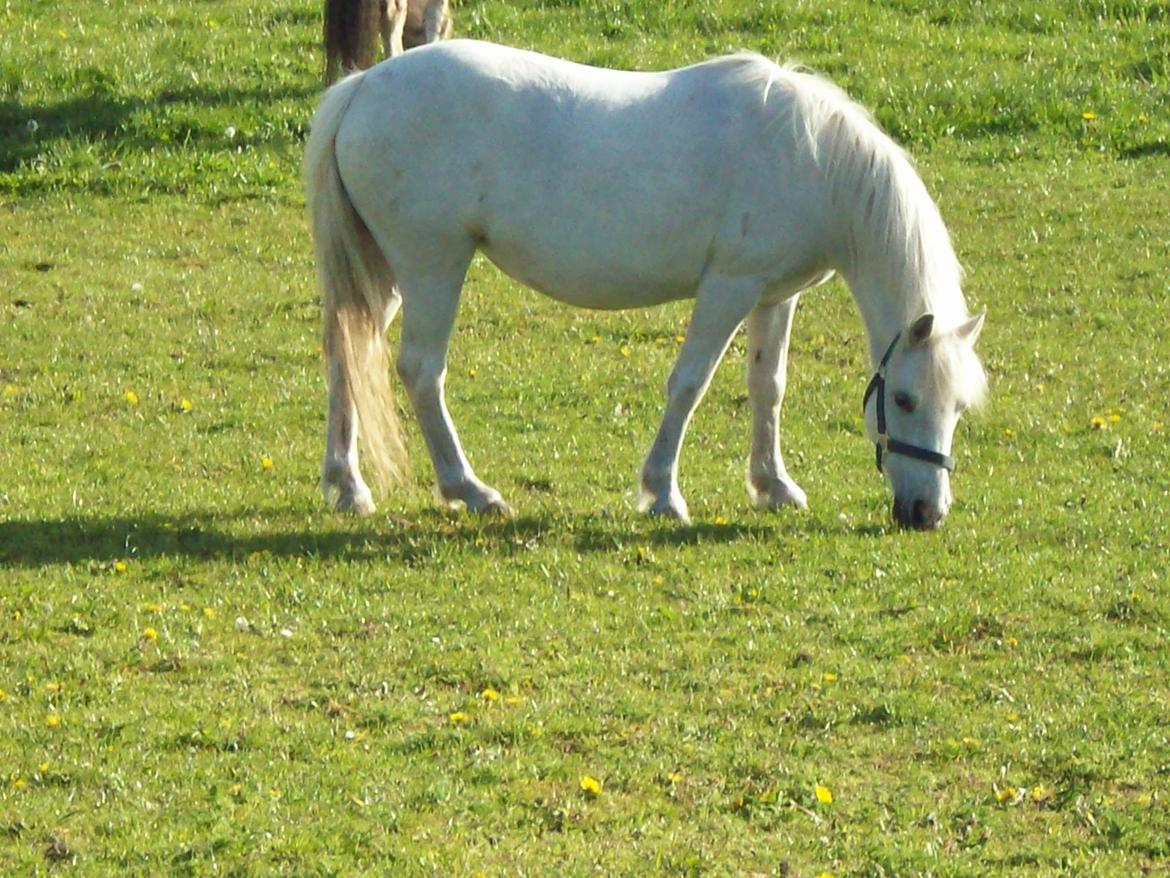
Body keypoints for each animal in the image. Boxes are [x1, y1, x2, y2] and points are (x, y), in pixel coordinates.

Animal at [304, 41, 987, 529]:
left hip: (385, 273)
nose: (927, 514)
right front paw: (662, 493)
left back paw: (347, 486)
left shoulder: (775, 294)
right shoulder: (728, 288)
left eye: (957, 406)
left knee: (346, 353)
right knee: (421, 370)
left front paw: (773, 485)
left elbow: (768, 387)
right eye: (904, 400)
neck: (811, 159)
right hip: (432, 266)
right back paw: (469, 489)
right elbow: (689, 383)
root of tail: (363, 86)